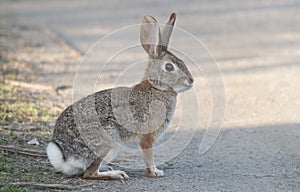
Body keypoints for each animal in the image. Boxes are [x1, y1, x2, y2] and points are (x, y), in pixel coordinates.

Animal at [45, 13, 193, 180]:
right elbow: (148, 155)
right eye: (169, 67)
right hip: (108, 139)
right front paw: (155, 172)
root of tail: (64, 155)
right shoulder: (147, 137)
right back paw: (117, 174)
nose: (191, 80)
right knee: (89, 173)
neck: (157, 88)